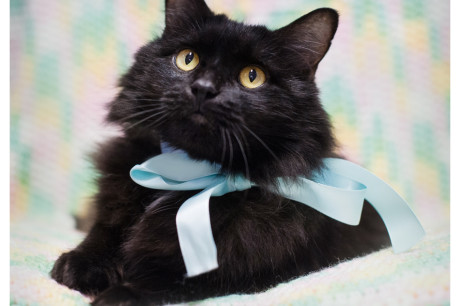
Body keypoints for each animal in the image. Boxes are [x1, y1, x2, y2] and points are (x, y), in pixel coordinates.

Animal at [51, 1, 388, 304]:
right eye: (188, 59)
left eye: (252, 76)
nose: (203, 87)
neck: (184, 174)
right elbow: (101, 233)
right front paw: (80, 265)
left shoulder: (238, 271)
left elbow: (165, 281)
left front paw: (118, 295)